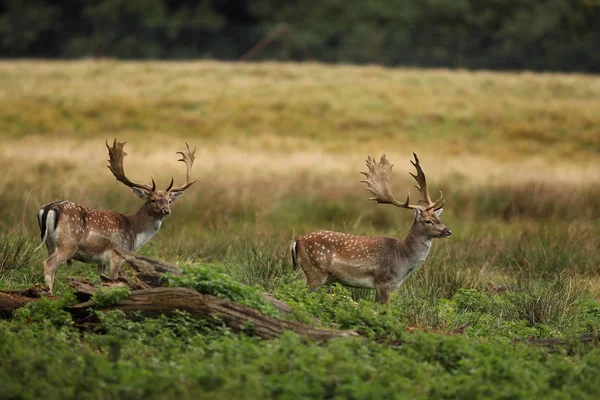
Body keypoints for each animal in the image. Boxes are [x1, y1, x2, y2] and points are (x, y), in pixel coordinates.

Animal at [37, 139, 197, 292]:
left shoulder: (100, 260)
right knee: (48, 263)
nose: (166, 211)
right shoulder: (117, 254)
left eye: (169, 200)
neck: (134, 232)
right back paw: (50, 293)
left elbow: (100, 281)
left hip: (50, 243)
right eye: (152, 200)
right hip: (68, 243)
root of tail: (47, 209)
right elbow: (113, 279)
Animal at [290, 153, 450, 304]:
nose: (448, 231)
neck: (402, 258)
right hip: (315, 272)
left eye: (439, 219)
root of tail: (296, 242)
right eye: (428, 221)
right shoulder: (383, 280)